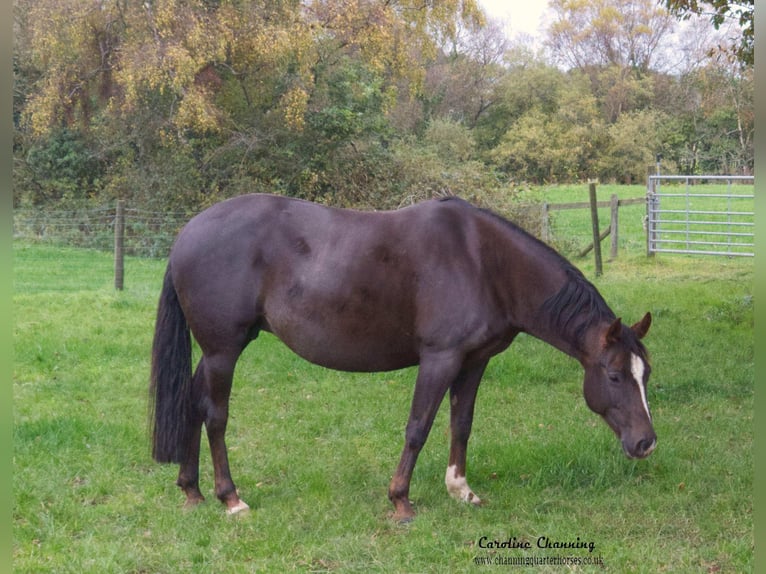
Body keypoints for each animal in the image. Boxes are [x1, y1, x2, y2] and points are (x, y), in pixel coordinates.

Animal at [152, 194, 660, 520]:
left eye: (646, 374)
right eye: (615, 376)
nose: (646, 443)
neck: (484, 263)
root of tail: (186, 234)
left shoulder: (474, 362)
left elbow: (461, 424)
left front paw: (461, 490)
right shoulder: (440, 359)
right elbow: (418, 428)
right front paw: (400, 501)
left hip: (213, 352)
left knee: (193, 404)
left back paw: (192, 491)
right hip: (224, 350)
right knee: (215, 415)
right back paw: (230, 498)